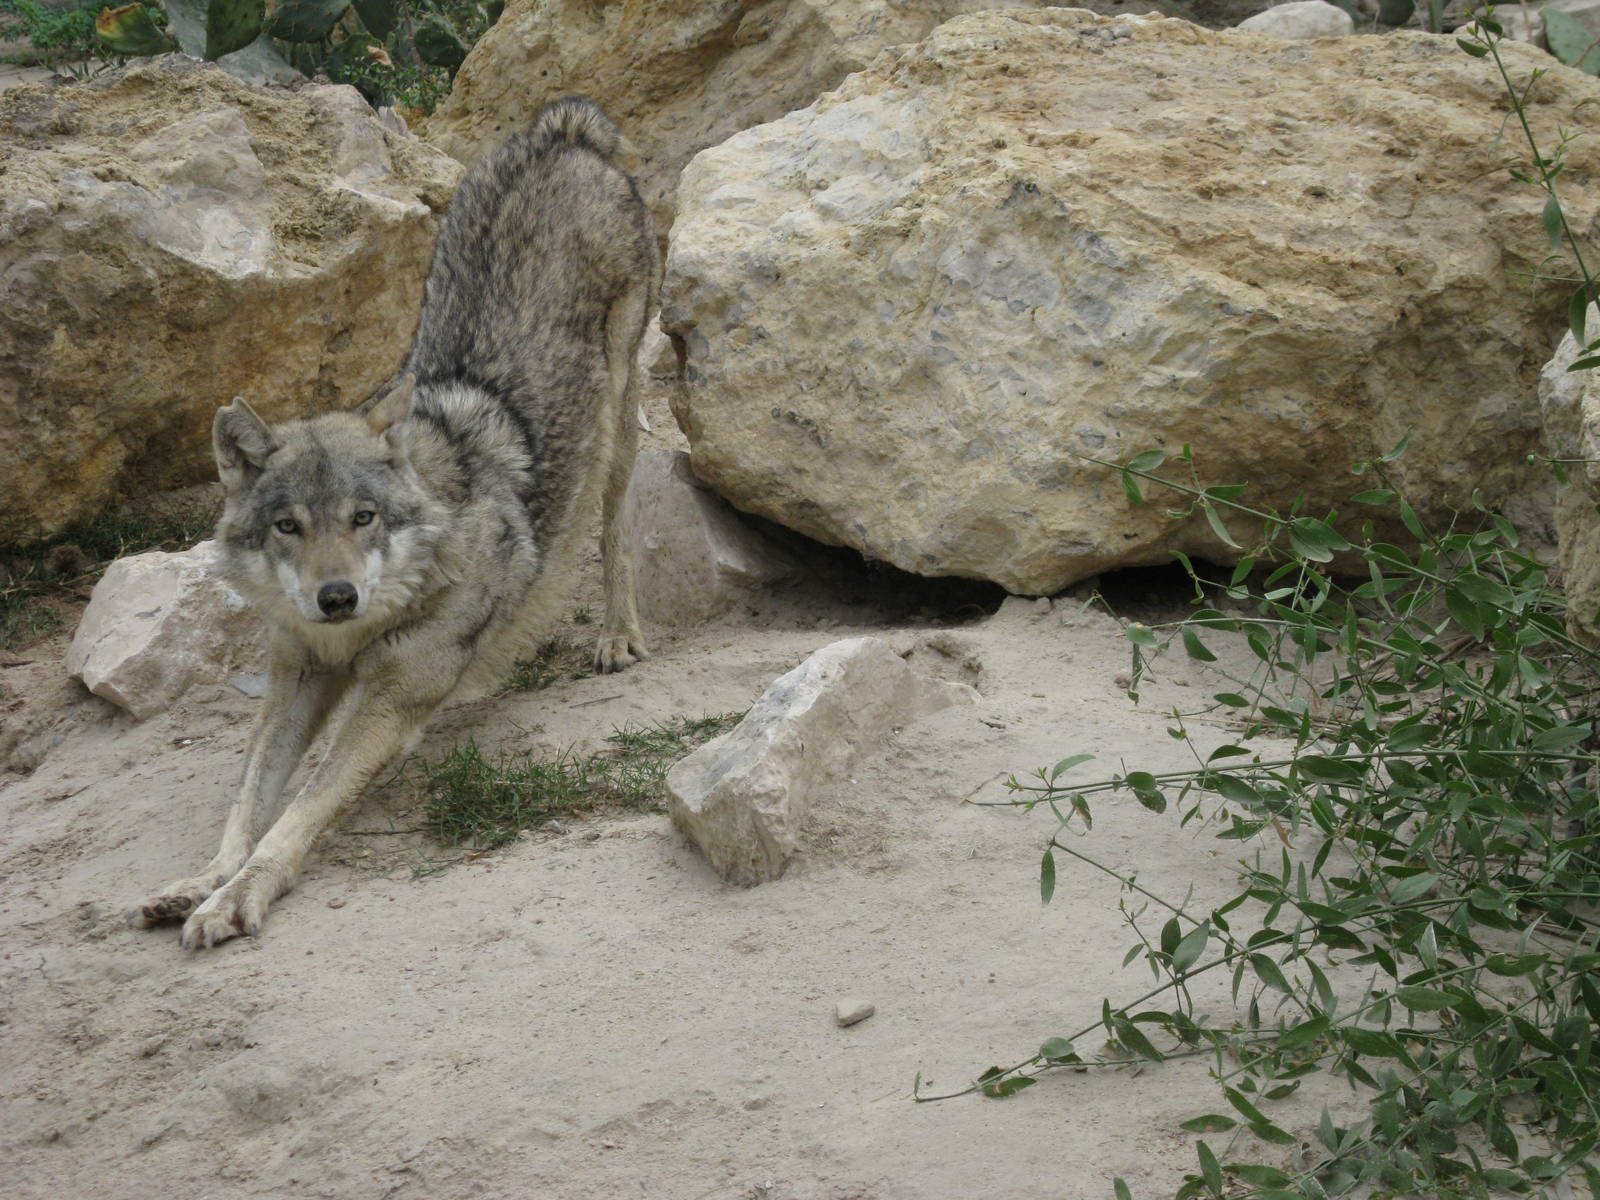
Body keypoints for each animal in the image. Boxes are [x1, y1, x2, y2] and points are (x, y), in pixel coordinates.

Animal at [126, 97, 659, 949]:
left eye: (363, 517)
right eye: (288, 527)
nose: (335, 596)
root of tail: (564, 130)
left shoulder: (387, 697)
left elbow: (298, 810)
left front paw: (237, 898)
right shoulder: (300, 673)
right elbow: (249, 801)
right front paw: (203, 880)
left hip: (617, 420)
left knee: (613, 529)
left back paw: (617, 636)